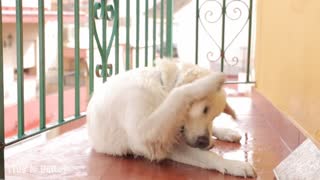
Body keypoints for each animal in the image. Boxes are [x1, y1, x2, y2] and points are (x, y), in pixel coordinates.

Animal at [86, 58, 256, 177]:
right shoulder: (147, 137)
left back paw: (226, 133)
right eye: (204, 109)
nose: (205, 142)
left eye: (214, 115)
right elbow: (179, 93)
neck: (161, 86)